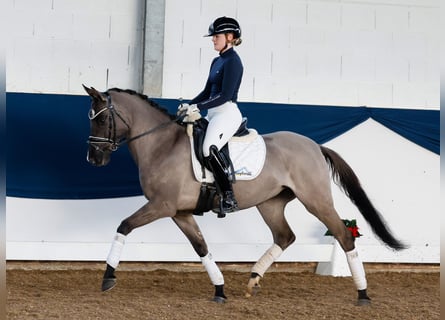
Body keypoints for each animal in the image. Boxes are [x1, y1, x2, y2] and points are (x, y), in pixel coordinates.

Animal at [81, 85, 404, 304]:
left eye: (101, 120)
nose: (93, 159)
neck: (162, 144)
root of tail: (314, 145)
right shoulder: (180, 212)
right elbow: (201, 247)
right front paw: (220, 290)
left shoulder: (162, 205)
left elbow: (124, 226)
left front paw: (108, 277)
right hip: (270, 203)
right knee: (285, 236)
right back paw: (253, 280)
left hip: (316, 201)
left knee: (344, 235)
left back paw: (363, 294)